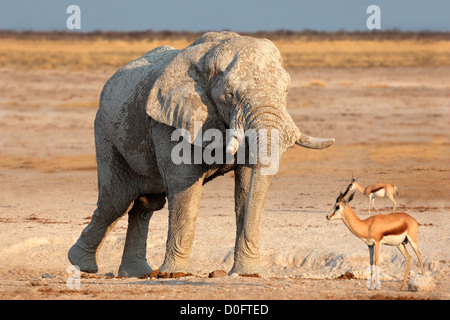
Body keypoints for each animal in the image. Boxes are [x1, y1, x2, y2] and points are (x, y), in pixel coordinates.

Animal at [67, 32, 334, 278]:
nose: (248, 274)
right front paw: (175, 275)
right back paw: (82, 265)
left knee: (144, 205)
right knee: (116, 201)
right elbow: (184, 186)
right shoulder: (171, 120)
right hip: (105, 132)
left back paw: (136, 273)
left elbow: (247, 183)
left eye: (286, 90)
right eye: (229, 95)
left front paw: (246, 273)